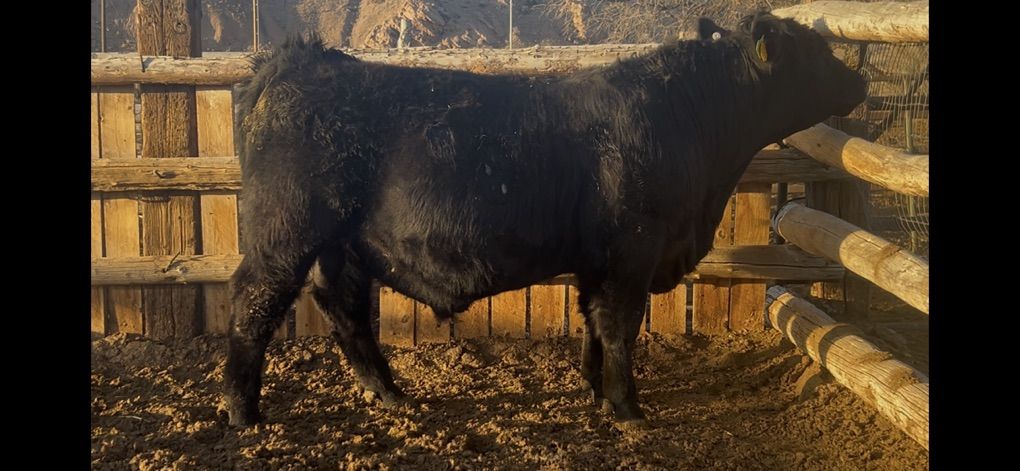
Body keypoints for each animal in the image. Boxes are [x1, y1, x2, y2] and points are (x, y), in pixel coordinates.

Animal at [223, 10, 867, 429]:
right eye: (813, 52)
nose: (860, 77)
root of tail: (296, 61)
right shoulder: (634, 248)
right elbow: (620, 324)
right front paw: (629, 409)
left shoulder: (599, 258)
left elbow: (593, 322)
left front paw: (595, 390)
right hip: (285, 234)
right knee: (253, 306)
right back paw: (243, 414)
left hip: (342, 246)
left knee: (347, 310)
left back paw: (390, 395)